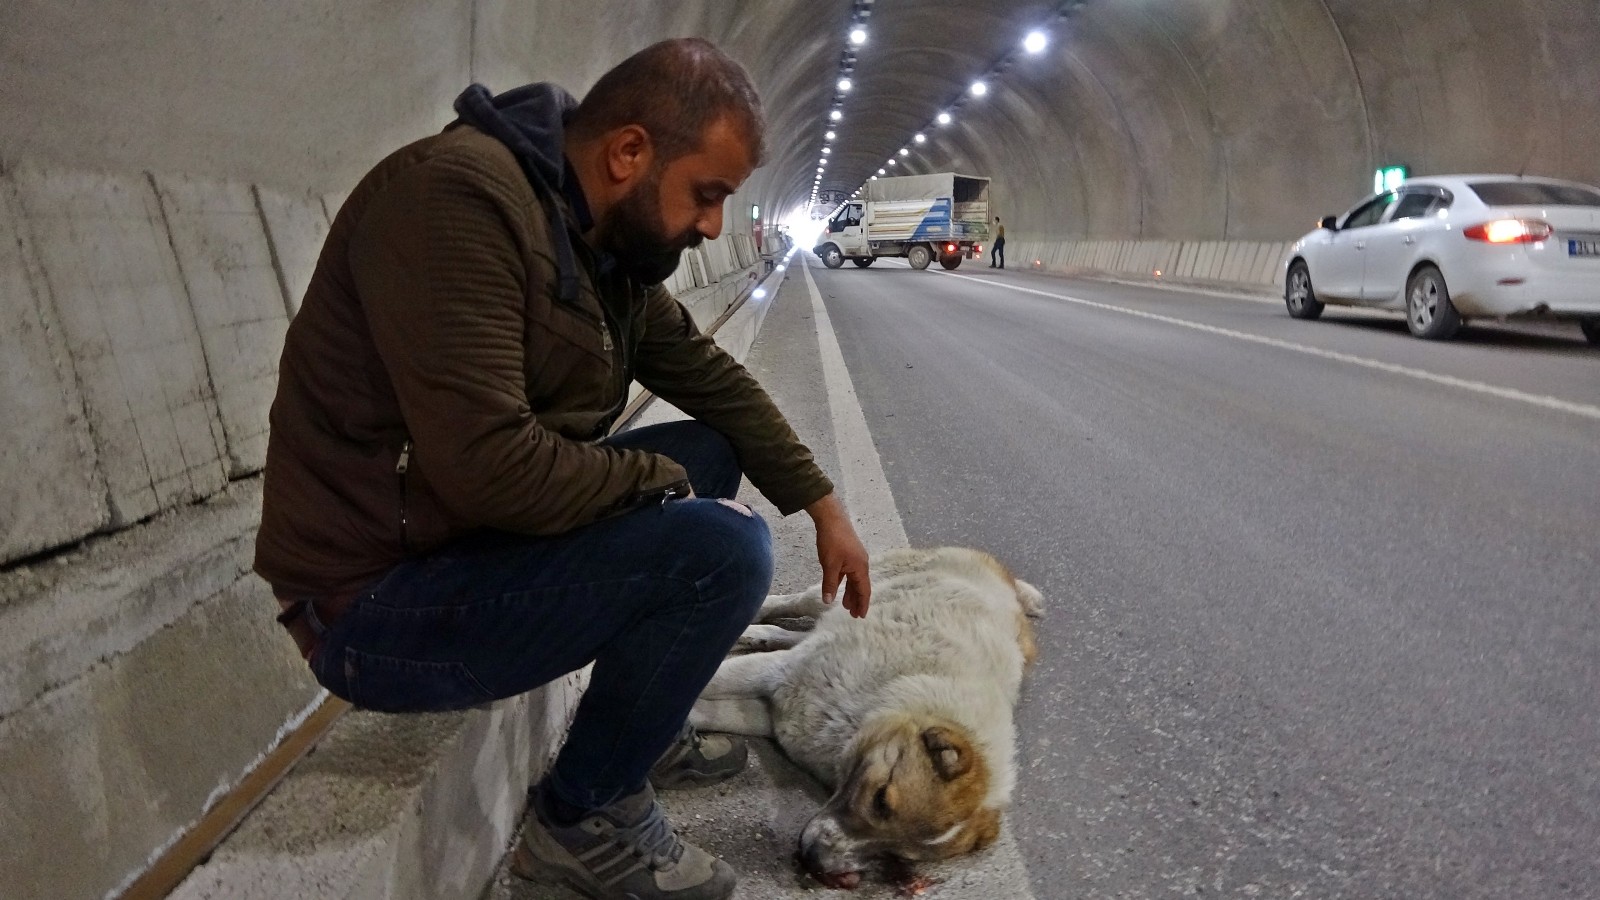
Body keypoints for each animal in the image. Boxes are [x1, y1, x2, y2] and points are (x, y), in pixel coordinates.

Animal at [691, 544, 1043, 883]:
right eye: (882, 800)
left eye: (898, 854)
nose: (814, 859)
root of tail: (1009, 583)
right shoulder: (775, 674)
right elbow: (709, 681)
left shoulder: (774, 713)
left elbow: (701, 709)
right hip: (840, 588)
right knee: (788, 603)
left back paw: (757, 634)